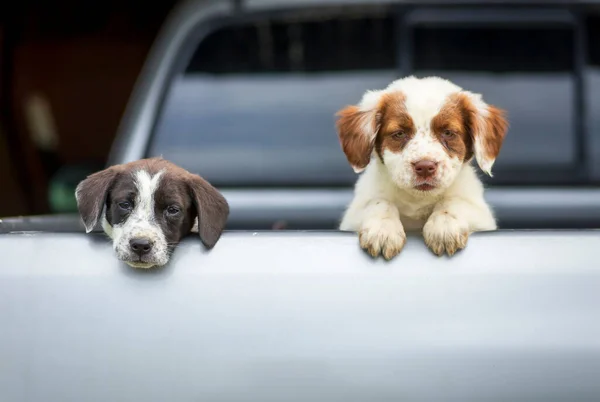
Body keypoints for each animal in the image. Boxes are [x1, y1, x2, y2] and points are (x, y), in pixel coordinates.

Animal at [336, 76, 508, 260]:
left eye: (448, 133)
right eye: (399, 133)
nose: (425, 167)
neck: (418, 199)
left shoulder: (481, 215)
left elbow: (454, 200)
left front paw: (444, 226)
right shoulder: (353, 215)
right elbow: (379, 201)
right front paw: (382, 230)